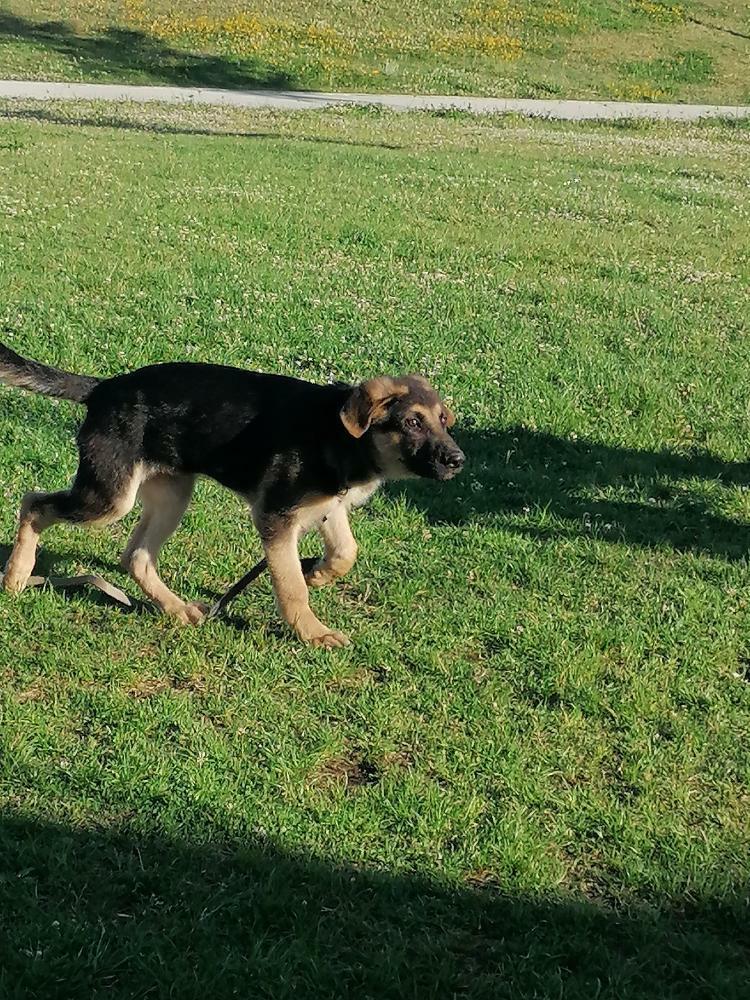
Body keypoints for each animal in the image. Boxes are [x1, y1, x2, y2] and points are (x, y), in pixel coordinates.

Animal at [0, 340, 464, 644]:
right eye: (413, 423)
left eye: (444, 420)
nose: (458, 460)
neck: (339, 436)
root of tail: (102, 388)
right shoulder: (275, 517)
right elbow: (290, 587)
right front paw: (312, 633)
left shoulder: (325, 506)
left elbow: (346, 551)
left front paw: (319, 574)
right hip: (110, 497)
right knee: (34, 503)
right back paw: (17, 575)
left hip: (171, 496)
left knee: (136, 557)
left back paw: (178, 609)